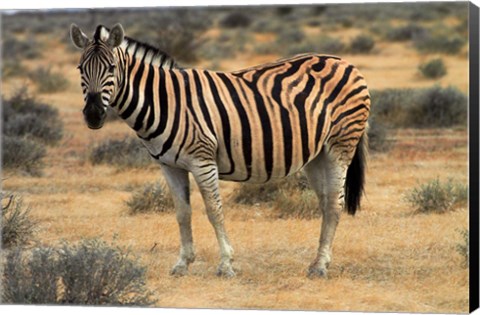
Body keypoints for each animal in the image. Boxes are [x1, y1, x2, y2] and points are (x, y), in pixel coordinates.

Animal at [71, 22, 372, 278]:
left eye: (111, 68)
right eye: (80, 69)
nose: (93, 115)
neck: (164, 101)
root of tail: (344, 61)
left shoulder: (202, 160)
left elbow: (214, 210)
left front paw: (226, 265)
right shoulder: (170, 166)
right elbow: (182, 213)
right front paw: (182, 264)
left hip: (340, 145)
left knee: (334, 203)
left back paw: (320, 267)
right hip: (316, 155)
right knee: (326, 202)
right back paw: (318, 261)